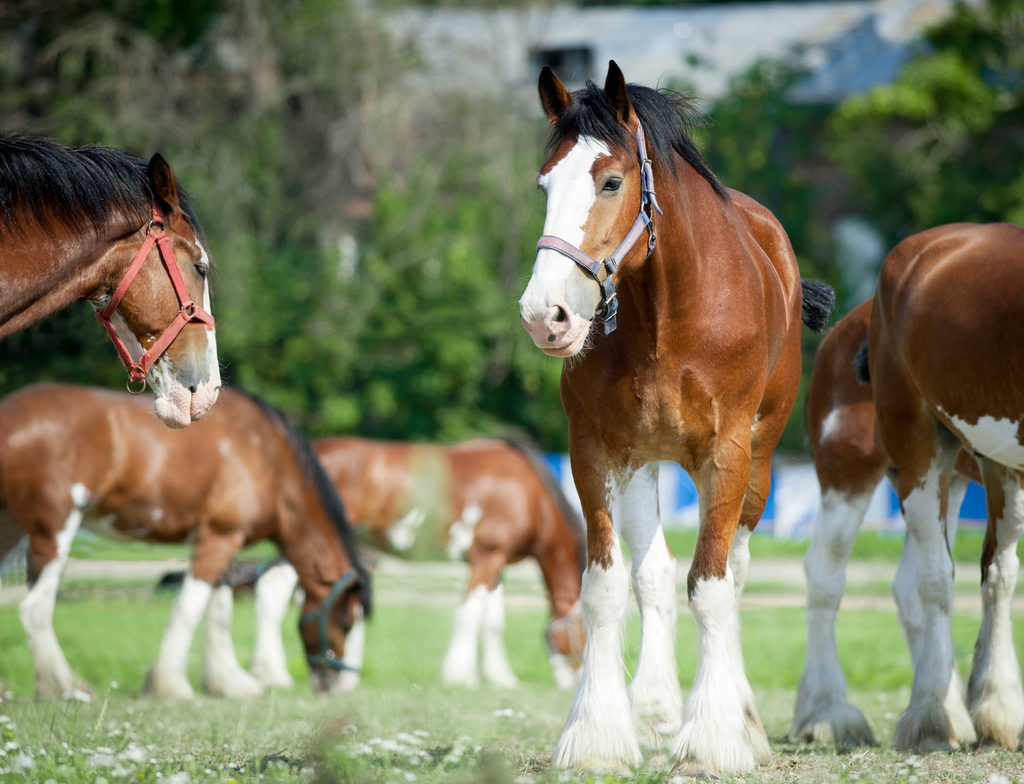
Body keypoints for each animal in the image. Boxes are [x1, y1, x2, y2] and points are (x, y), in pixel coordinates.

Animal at [0, 384, 370, 701]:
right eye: (347, 622)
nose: (342, 685)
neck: (267, 455)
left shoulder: (220, 542)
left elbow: (218, 607)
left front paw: (226, 681)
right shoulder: (219, 537)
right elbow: (190, 608)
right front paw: (170, 685)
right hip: (54, 532)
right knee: (35, 608)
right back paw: (64, 687)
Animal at [246, 437, 587, 691]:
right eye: (586, 634)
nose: (575, 682)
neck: (531, 494)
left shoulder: (498, 562)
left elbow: (492, 620)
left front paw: (499, 677)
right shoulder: (487, 557)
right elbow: (470, 614)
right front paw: (459, 675)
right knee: (272, 589)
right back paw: (273, 674)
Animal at [517, 62, 834, 773]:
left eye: (611, 181)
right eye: (544, 184)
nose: (545, 314)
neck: (666, 313)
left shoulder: (728, 455)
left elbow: (711, 585)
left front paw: (715, 738)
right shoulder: (598, 453)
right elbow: (608, 587)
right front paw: (598, 734)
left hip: (758, 465)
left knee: (732, 574)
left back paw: (740, 720)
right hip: (645, 465)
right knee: (653, 575)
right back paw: (655, 709)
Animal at [861, 222, 1024, 750]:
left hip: (1002, 462)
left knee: (998, 575)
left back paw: (993, 706)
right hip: (917, 445)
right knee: (936, 578)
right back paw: (935, 714)